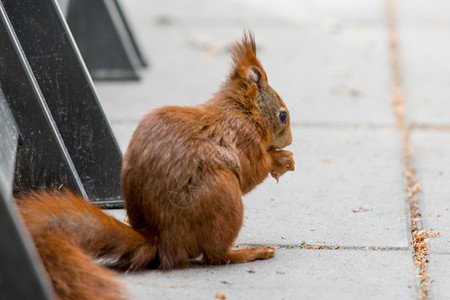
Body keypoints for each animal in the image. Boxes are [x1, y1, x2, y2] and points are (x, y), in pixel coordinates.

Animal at [14, 31, 296, 298]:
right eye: (283, 115)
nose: (290, 139)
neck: (241, 111)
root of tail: (162, 242)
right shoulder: (242, 138)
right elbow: (251, 171)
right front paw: (280, 159)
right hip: (223, 194)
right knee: (215, 255)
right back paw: (250, 252)